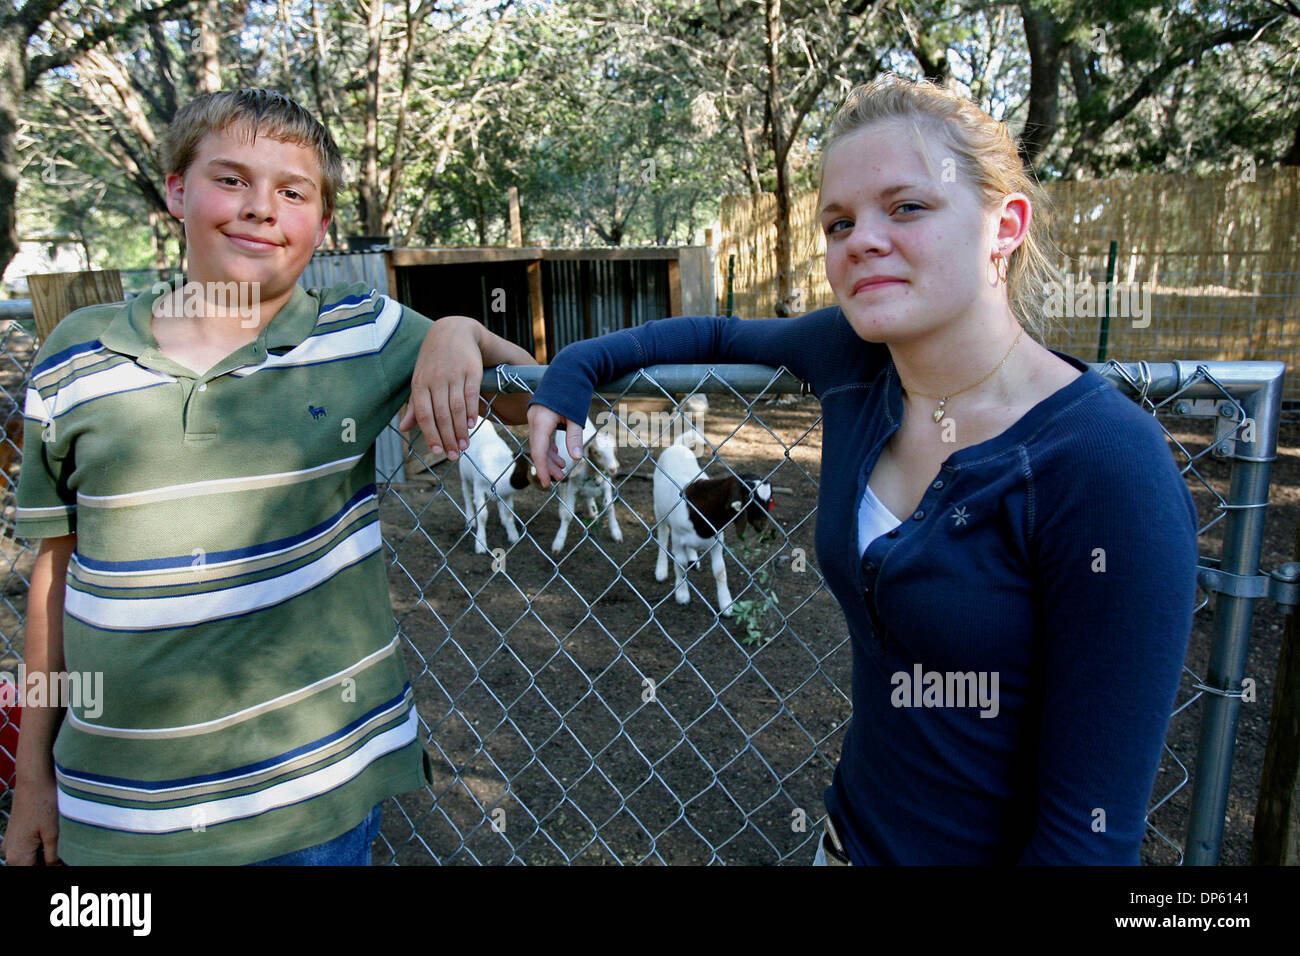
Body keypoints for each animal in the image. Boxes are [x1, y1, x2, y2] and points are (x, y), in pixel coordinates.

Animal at [457, 421, 527, 554]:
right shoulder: (479, 486)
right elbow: (482, 515)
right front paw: (480, 545)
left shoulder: (506, 493)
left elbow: (509, 511)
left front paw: (513, 536)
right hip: (464, 473)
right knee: (466, 493)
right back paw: (470, 519)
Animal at [650, 437, 769, 616]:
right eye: (749, 496)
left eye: (769, 500)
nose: (763, 525)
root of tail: (676, 446)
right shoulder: (678, 540)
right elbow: (680, 565)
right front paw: (682, 595)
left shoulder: (717, 541)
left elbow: (720, 571)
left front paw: (726, 605)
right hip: (659, 510)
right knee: (663, 537)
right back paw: (661, 571)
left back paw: (693, 558)